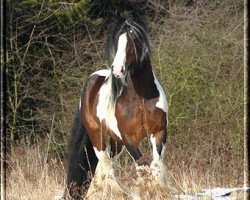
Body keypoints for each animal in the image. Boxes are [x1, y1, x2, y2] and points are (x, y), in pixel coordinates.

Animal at [65, 13, 169, 198]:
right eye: (117, 40)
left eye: (133, 39)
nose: (117, 69)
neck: (141, 98)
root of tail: (91, 81)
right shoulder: (129, 138)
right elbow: (142, 166)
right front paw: (146, 191)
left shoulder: (159, 132)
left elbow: (156, 163)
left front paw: (159, 190)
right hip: (97, 136)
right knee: (106, 165)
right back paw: (119, 193)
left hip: (116, 141)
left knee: (106, 164)